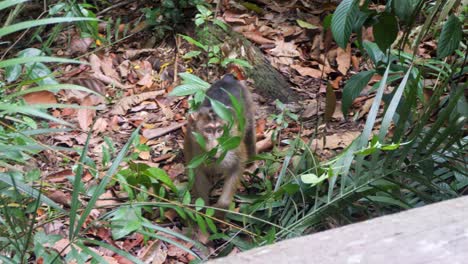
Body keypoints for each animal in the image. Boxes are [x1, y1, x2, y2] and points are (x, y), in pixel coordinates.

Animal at [184, 73, 256, 213]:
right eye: (208, 130)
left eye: (219, 130)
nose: (215, 146)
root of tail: (228, 78)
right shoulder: (191, 143)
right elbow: (196, 174)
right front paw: (203, 209)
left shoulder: (233, 141)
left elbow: (237, 166)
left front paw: (221, 207)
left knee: (249, 131)